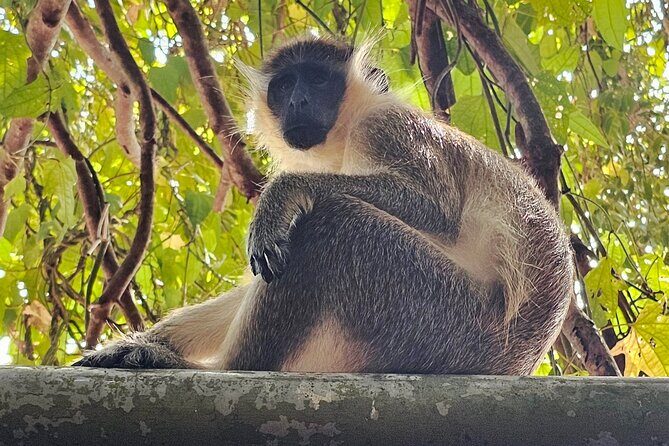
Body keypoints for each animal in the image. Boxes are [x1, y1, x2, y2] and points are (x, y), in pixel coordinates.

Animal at [75, 36, 573, 375]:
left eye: (317, 79)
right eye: (284, 86)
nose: (297, 100)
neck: (346, 133)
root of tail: (513, 361)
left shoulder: (387, 125)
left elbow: (435, 208)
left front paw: (281, 194)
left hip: (439, 321)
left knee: (332, 223)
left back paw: (223, 368)